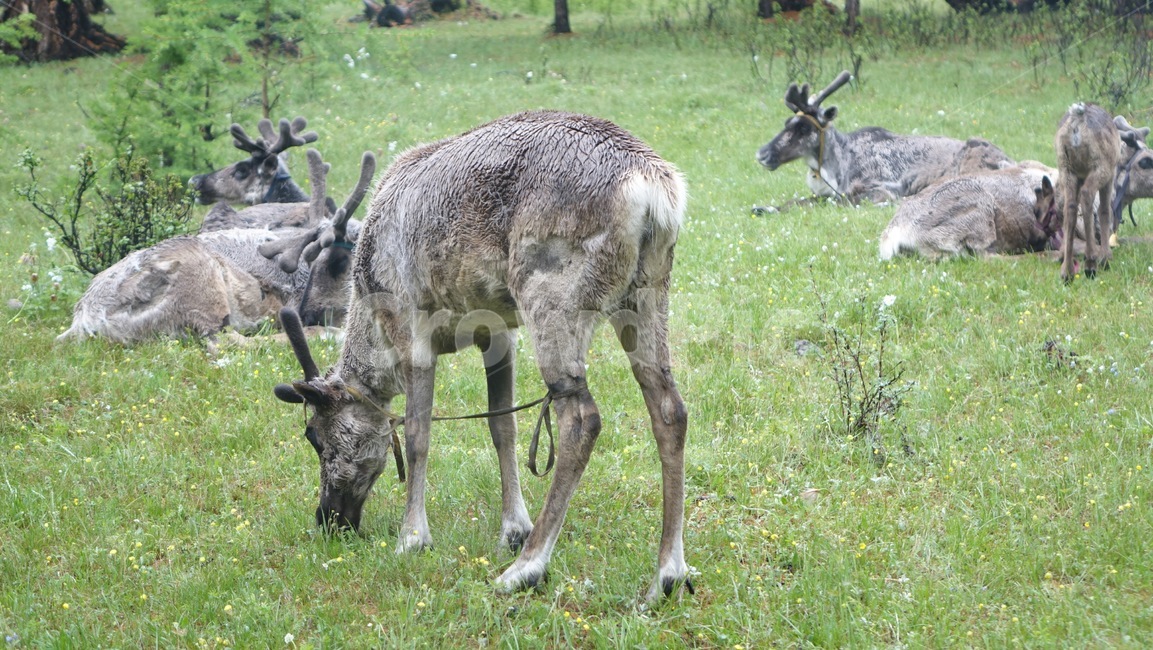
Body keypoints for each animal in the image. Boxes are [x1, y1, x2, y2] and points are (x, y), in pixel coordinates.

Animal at [272, 110, 691, 603]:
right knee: (670, 408)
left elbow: (417, 435)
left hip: (552, 292)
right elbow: (501, 426)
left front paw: (413, 537)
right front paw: (513, 527)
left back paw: (526, 568)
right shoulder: (497, 331)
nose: (328, 520)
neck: (370, 316)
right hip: (648, 292)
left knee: (581, 418)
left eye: (316, 438)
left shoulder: (410, 324)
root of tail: (655, 192)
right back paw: (668, 574)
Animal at [757, 71, 1014, 204]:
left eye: (803, 128)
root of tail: (1009, 159)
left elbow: (832, 201)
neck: (836, 165)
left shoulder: (877, 188)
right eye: (786, 122)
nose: (762, 153)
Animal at [1055, 103, 1122, 284]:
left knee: (1069, 207)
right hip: (1101, 166)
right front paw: (1106, 257)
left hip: (1065, 167)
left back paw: (1067, 271)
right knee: (1087, 196)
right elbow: (1105, 211)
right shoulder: (1110, 176)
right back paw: (1091, 262)